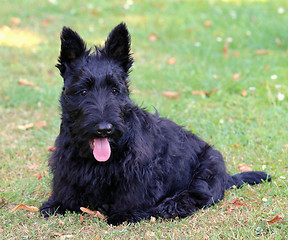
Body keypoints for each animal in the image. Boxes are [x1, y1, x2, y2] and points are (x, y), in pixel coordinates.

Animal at [39, 23, 272, 225]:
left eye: (115, 90)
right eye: (83, 91)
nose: (105, 129)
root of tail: (226, 177)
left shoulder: (140, 173)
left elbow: (131, 195)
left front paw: (124, 214)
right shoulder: (66, 165)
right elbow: (65, 189)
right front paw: (56, 204)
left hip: (206, 170)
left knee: (198, 195)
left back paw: (169, 206)